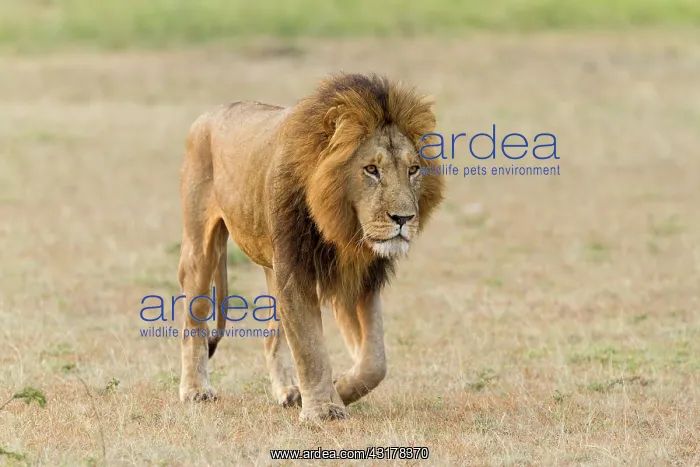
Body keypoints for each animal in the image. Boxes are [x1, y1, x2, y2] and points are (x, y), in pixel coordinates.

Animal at [177, 72, 444, 422]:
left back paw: (287, 391)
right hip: (201, 247)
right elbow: (309, 346)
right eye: (371, 169)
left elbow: (374, 361)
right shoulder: (295, 271)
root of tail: (209, 114)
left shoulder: (357, 280)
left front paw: (337, 389)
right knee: (193, 318)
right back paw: (195, 390)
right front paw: (322, 408)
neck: (343, 230)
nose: (404, 218)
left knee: (271, 338)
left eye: (413, 170)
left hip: (271, 268)